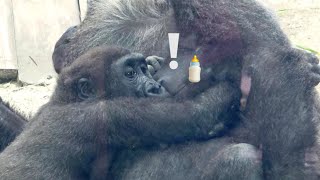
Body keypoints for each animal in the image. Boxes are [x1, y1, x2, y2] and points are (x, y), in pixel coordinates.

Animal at [0, 45, 240, 179]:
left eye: (143, 70)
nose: (154, 87)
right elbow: (197, 116)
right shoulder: (106, 116)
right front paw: (228, 82)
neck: (66, 100)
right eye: (130, 74)